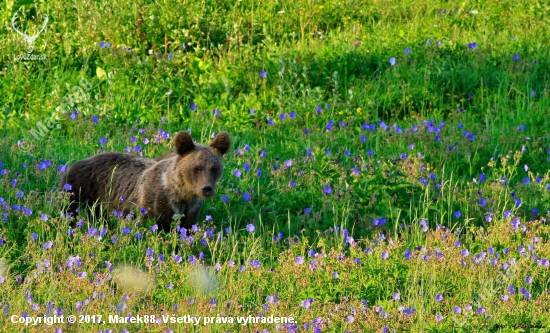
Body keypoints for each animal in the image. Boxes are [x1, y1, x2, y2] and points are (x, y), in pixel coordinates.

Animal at [59, 131, 231, 230]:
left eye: (214, 168)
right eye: (196, 168)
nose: (206, 188)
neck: (181, 194)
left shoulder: (191, 210)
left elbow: (186, 229)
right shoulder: (156, 203)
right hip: (80, 189)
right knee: (70, 210)